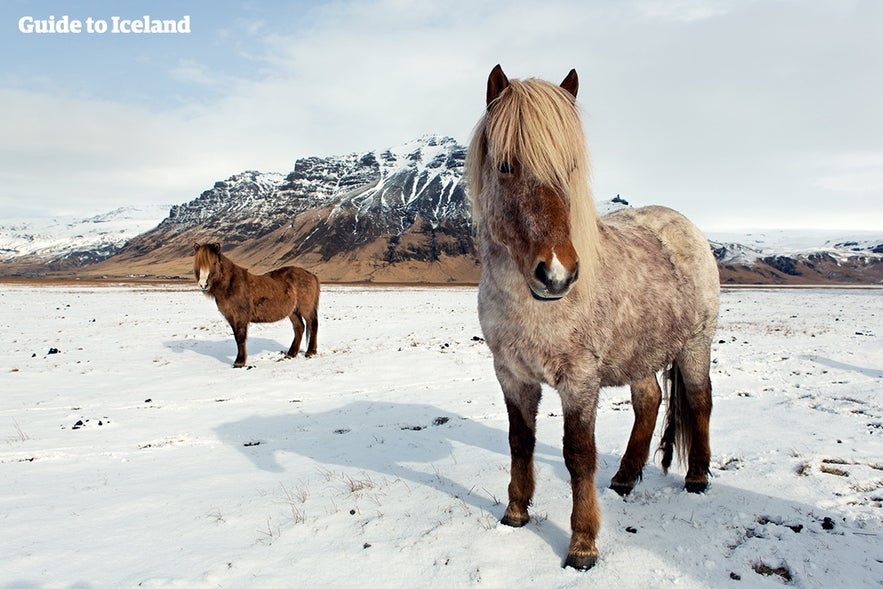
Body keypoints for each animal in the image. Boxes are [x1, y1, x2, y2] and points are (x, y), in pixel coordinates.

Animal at [193, 241, 322, 366]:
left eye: (214, 263)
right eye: (198, 264)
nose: (203, 285)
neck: (230, 284)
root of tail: (311, 274)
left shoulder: (241, 316)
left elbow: (240, 337)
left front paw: (239, 362)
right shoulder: (231, 317)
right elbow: (237, 338)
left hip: (306, 308)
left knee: (312, 325)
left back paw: (310, 352)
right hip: (293, 311)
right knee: (299, 327)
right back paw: (291, 353)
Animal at [466, 64, 720, 568]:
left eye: (570, 167)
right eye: (506, 166)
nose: (557, 274)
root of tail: (687, 226)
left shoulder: (579, 380)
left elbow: (578, 455)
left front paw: (582, 545)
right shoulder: (510, 375)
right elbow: (520, 441)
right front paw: (515, 512)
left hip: (695, 345)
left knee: (700, 401)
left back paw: (697, 478)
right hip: (642, 353)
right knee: (649, 400)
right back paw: (623, 477)